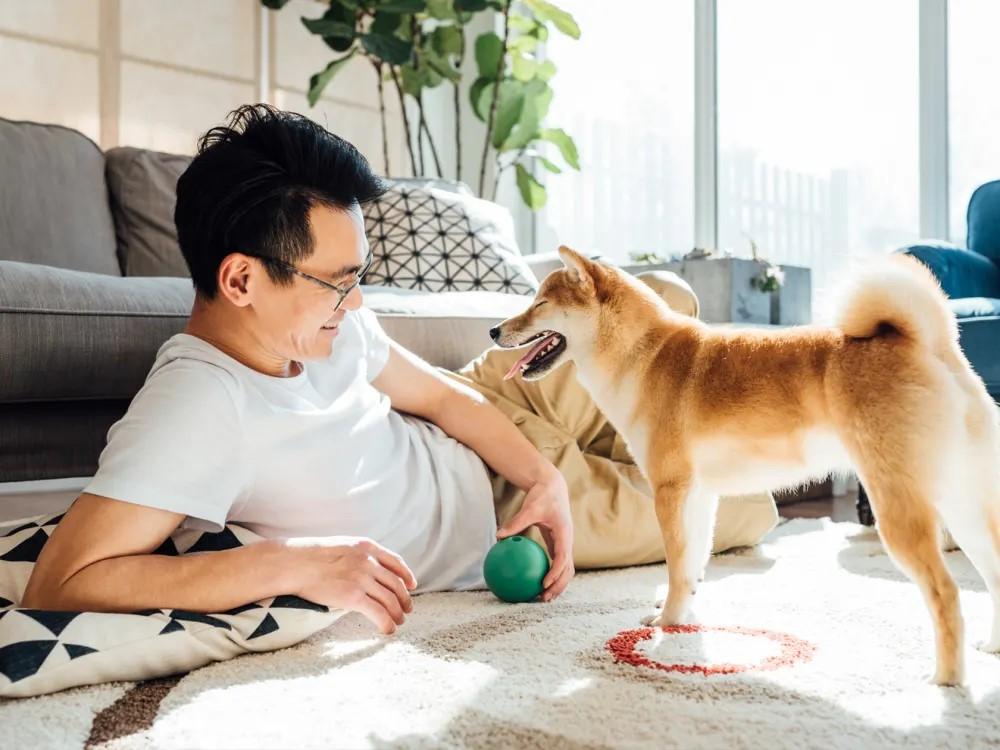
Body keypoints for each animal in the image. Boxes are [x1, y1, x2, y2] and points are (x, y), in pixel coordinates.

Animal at [490, 247, 1000, 688]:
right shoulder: (698, 495)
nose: (494, 331)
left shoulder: (670, 490)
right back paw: (991, 648)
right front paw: (684, 615)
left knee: (946, 592)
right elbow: (692, 565)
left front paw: (667, 622)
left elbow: (676, 565)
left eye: (539, 304)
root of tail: (928, 343)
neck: (642, 356)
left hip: (897, 507)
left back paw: (946, 680)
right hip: (962, 507)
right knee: (991, 573)